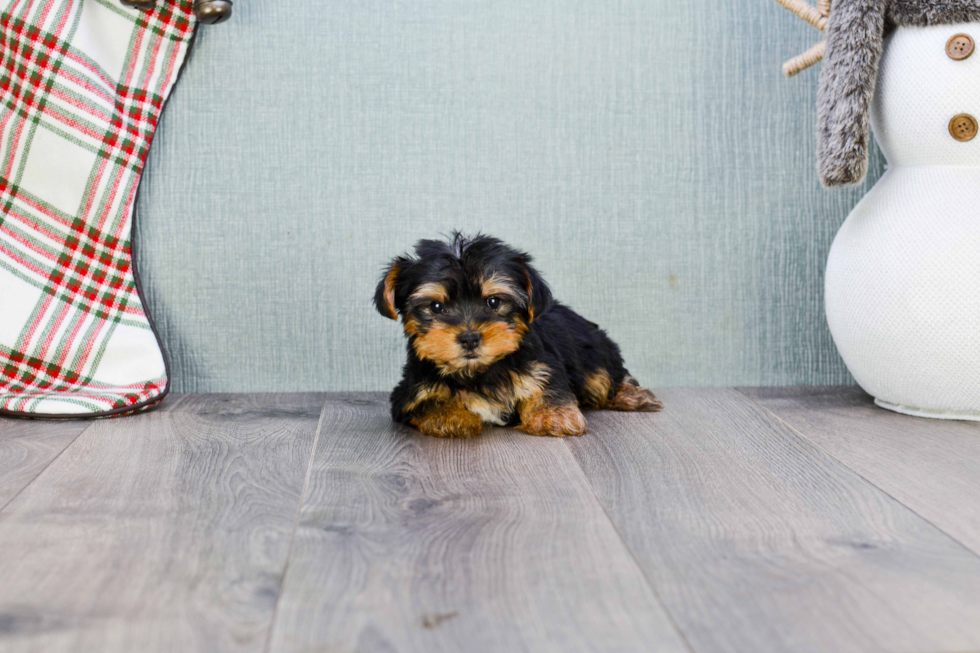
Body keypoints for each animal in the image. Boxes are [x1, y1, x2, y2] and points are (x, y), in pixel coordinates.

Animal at [372, 232, 664, 436]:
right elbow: (428, 402)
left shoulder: (543, 364)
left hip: (593, 351)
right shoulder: (409, 391)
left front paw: (553, 417)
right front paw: (452, 417)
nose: (469, 338)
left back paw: (633, 396)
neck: (479, 372)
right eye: (435, 307)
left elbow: (548, 386)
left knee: (605, 377)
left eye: (493, 302)